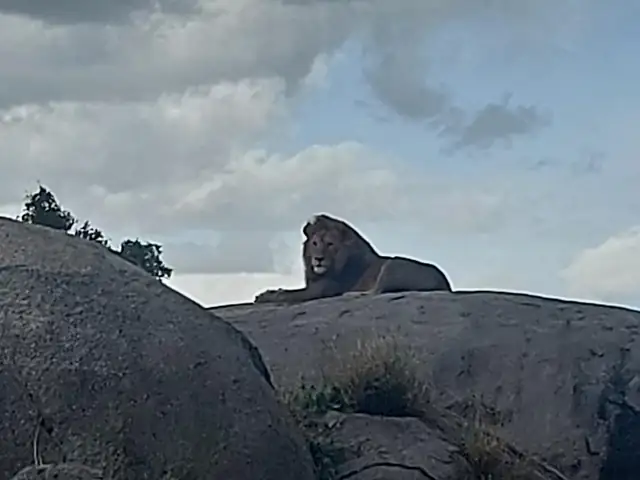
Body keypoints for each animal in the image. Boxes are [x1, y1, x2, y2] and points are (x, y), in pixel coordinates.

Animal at [253, 213, 452, 304]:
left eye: (330, 244)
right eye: (315, 243)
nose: (318, 259)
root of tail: (444, 283)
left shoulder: (323, 289)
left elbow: (290, 294)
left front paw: (267, 296)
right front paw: (268, 292)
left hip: (393, 264)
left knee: (378, 290)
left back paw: (352, 294)